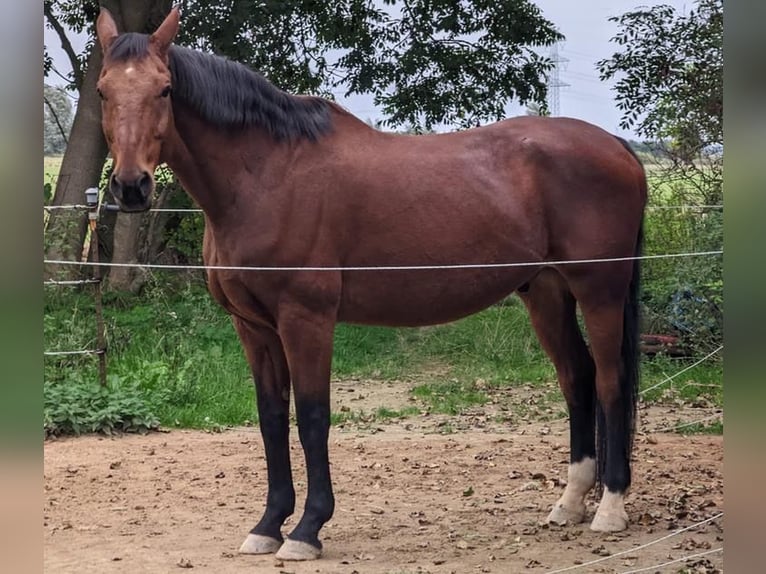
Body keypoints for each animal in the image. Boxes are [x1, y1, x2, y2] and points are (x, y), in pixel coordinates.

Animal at [96, 4, 648, 564]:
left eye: (165, 89)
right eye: (102, 90)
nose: (131, 187)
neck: (267, 175)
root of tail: (617, 147)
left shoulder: (306, 320)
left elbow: (312, 417)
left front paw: (307, 529)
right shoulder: (253, 327)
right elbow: (271, 419)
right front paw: (269, 524)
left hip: (600, 291)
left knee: (609, 380)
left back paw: (610, 508)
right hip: (547, 293)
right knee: (576, 377)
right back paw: (570, 503)